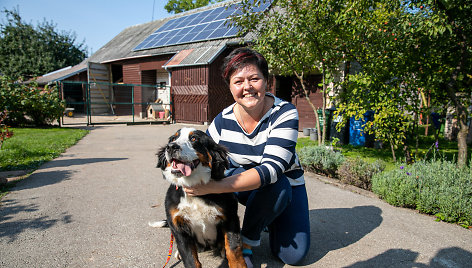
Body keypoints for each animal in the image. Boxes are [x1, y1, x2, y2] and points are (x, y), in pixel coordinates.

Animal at [155, 127, 247, 268]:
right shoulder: (179, 227)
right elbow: (190, 259)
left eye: (194, 139)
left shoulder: (230, 217)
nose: (171, 147)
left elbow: (233, 249)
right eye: (173, 139)